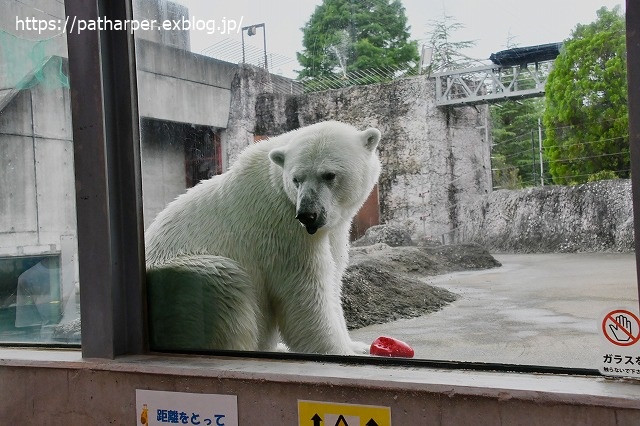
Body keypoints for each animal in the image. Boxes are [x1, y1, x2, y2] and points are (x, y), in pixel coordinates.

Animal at [146, 120, 380, 356]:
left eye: (329, 175)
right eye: (296, 179)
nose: (307, 214)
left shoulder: (331, 228)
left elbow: (333, 275)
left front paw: (357, 346)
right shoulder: (284, 227)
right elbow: (307, 290)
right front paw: (338, 350)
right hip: (185, 284)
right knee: (225, 283)